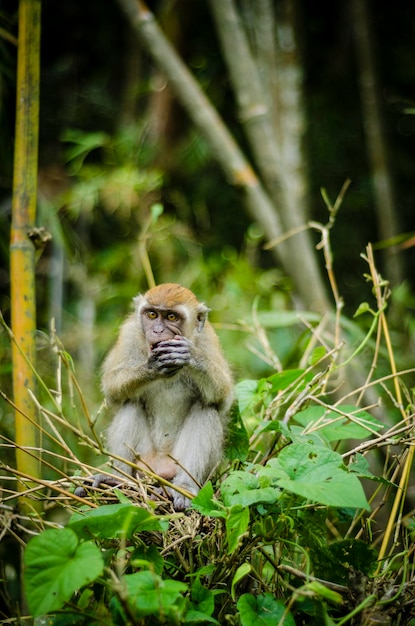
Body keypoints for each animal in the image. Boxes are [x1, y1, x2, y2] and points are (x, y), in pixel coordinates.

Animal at [76, 282, 234, 508]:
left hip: (185, 468)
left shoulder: (208, 339)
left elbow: (222, 399)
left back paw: (184, 487)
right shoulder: (129, 333)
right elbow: (112, 390)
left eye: (171, 317)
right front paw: (152, 367)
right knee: (130, 404)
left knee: (206, 409)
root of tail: (159, 467)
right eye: (152, 314)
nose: (157, 330)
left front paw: (190, 355)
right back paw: (118, 480)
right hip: (142, 462)